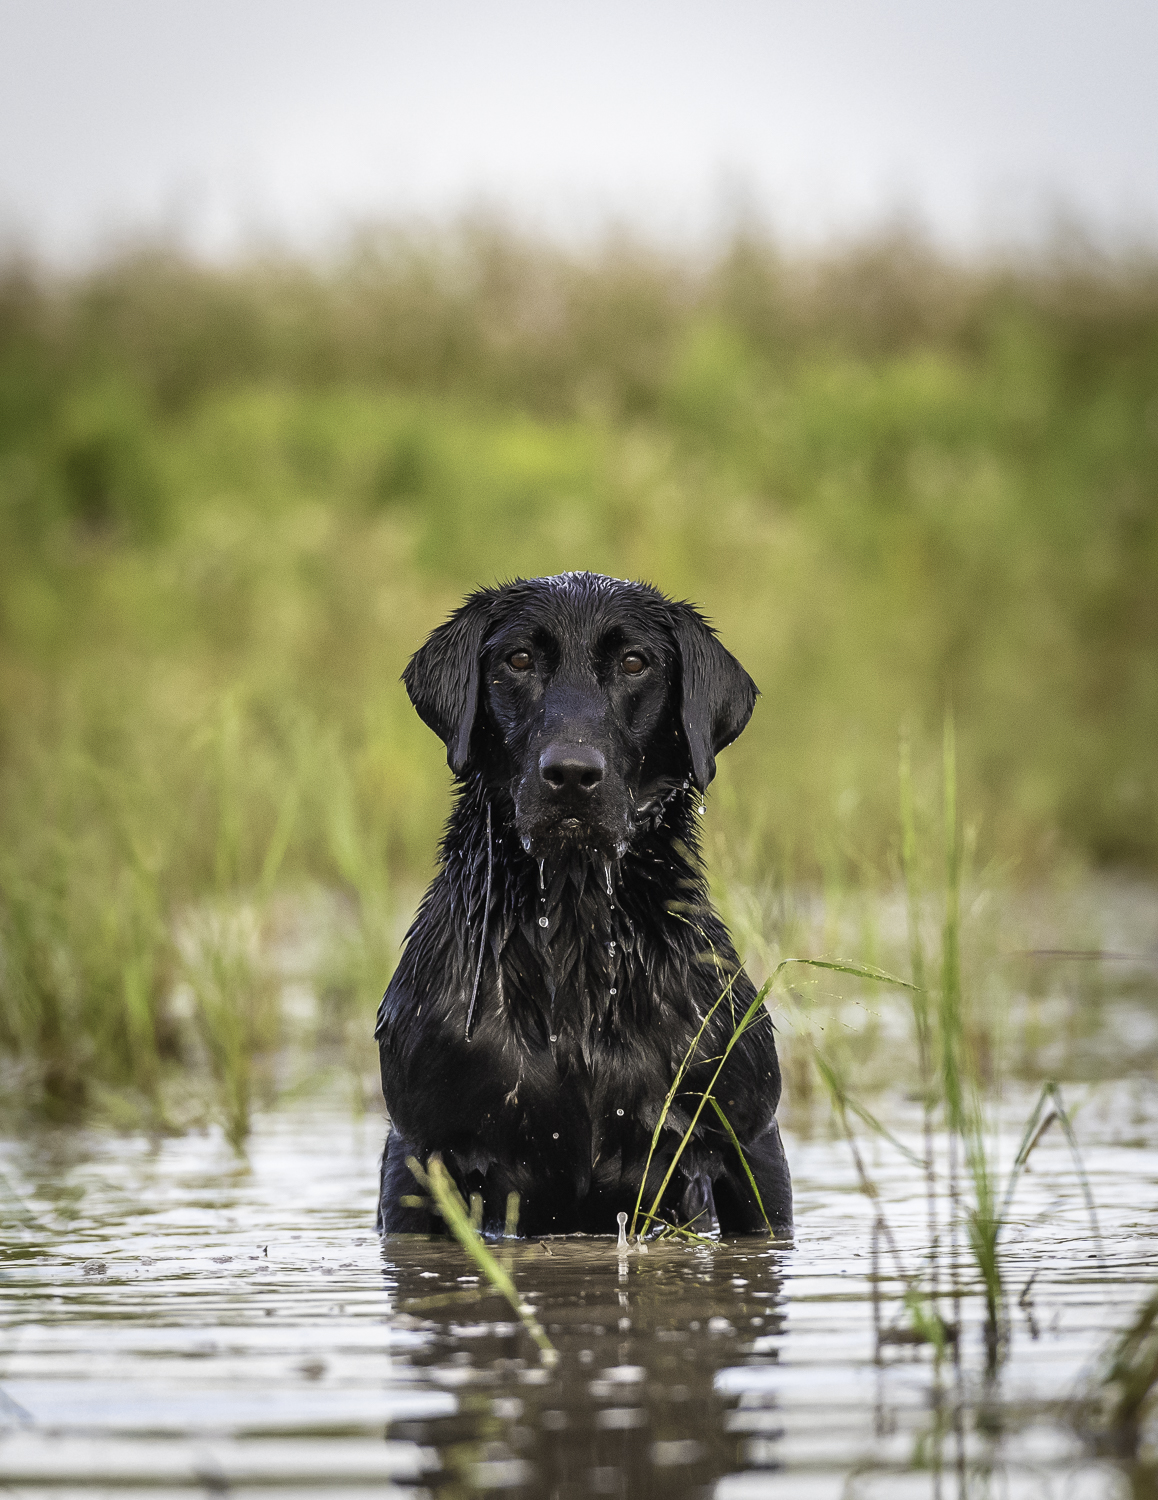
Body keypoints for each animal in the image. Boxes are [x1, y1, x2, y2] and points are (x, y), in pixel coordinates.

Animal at [375, 567, 792, 1236]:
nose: (571, 774)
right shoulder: (418, 1153)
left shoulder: (750, 1142)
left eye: (634, 663)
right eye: (518, 659)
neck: (575, 928)